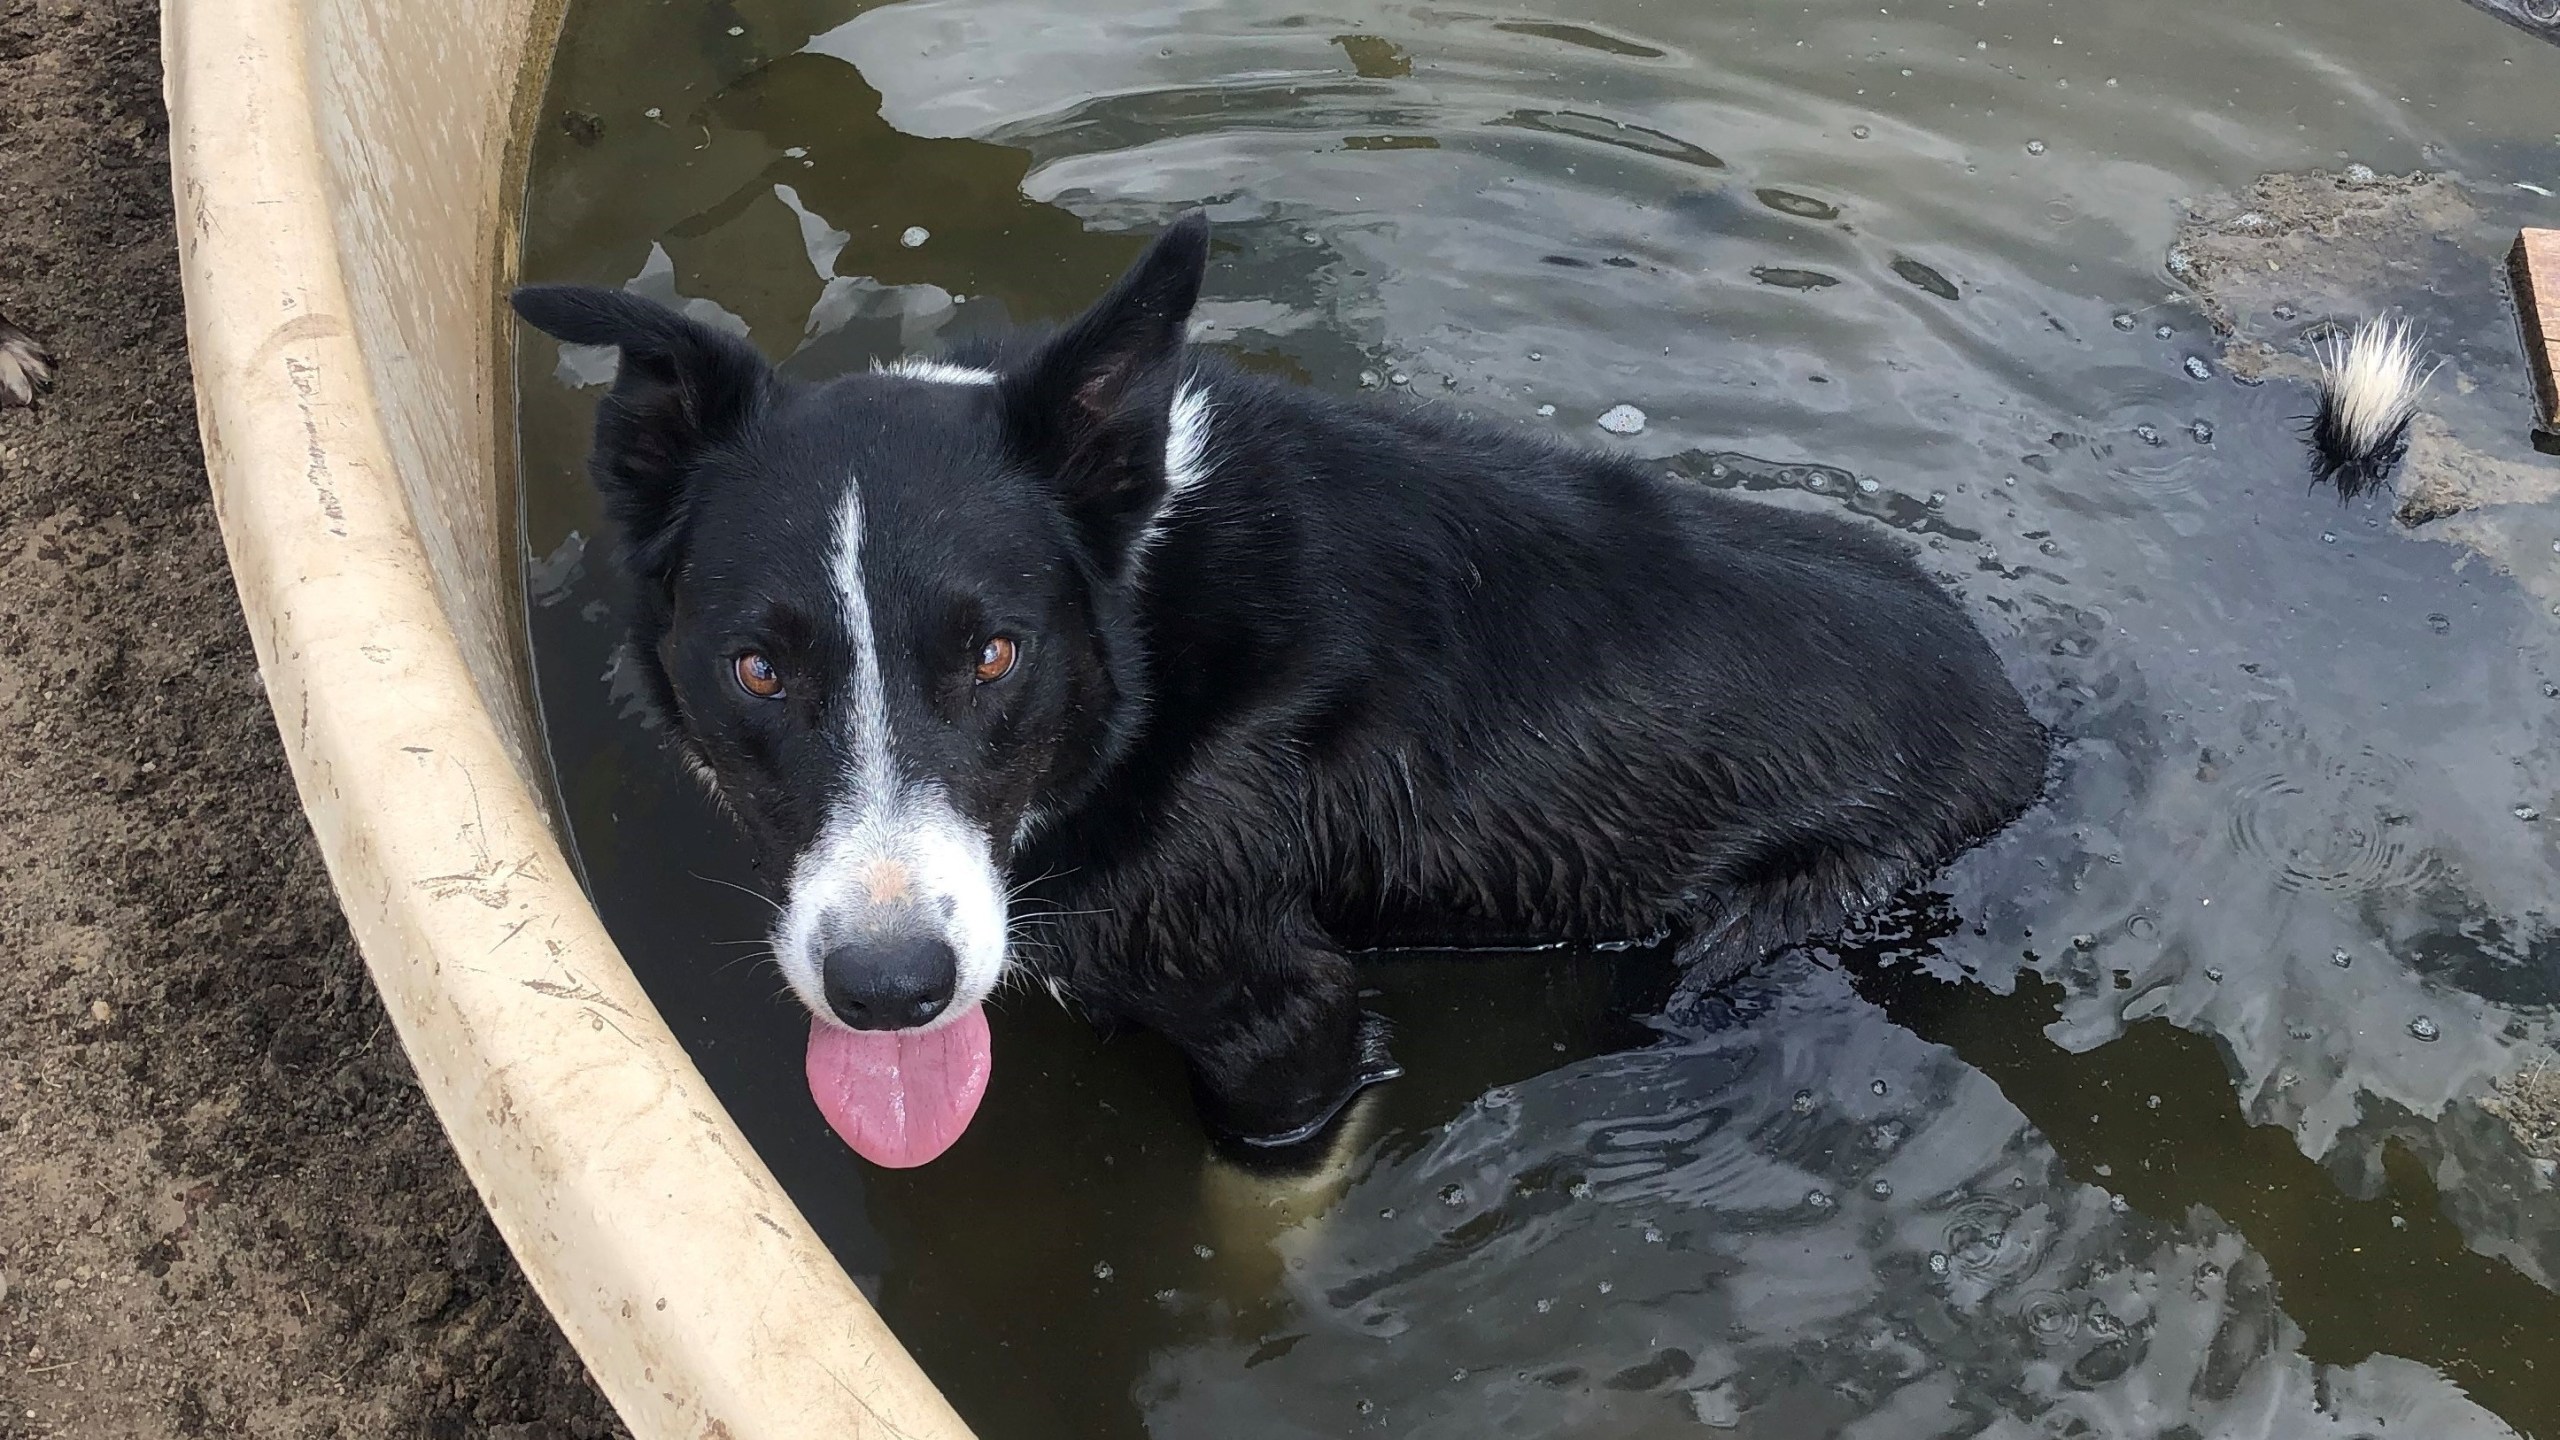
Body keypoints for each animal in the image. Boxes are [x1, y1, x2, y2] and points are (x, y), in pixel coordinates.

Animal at [509, 219, 2048, 1173]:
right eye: (758, 669)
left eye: (996, 655)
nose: (892, 994)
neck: (1139, 645)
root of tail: (2030, 725)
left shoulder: (1280, 1014)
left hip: (1762, 928)